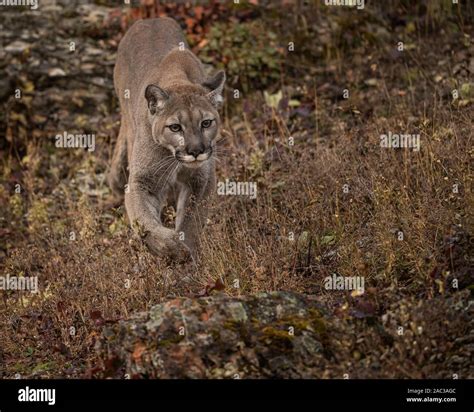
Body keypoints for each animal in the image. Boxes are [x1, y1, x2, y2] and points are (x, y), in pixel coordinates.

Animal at [108, 18, 226, 260]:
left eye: (206, 123)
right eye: (175, 127)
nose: (196, 151)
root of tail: (148, 19)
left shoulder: (202, 179)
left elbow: (192, 221)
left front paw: (187, 251)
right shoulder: (142, 180)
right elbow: (144, 219)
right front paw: (170, 246)